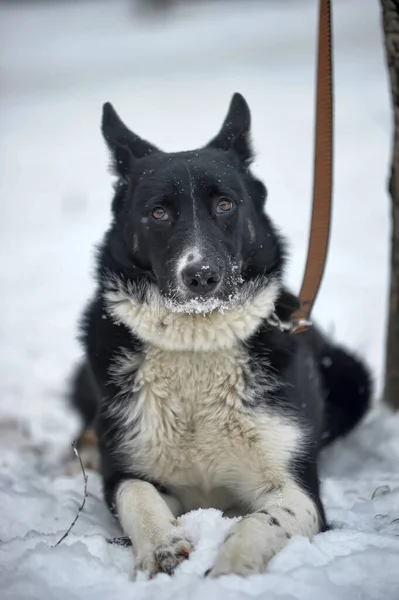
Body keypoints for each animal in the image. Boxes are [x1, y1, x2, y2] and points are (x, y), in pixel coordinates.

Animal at [69, 95, 372, 580]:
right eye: (159, 212)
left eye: (226, 205)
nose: (201, 276)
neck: (197, 341)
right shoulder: (128, 470)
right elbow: (137, 496)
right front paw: (161, 546)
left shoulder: (295, 486)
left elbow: (263, 520)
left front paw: (232, 566)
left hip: (352, 375)